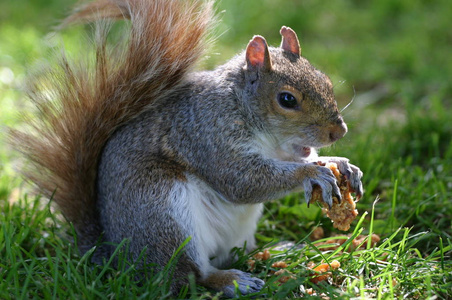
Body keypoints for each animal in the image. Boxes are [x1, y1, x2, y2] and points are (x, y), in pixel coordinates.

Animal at [11, 0, 364, 296]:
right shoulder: (208, 135)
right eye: (287, 99)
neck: (240, 105)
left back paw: (278, 250)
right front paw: (312, 174)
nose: (339, 131)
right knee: (191, 275)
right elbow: (242, 181)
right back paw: (232, 281)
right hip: (162, 212)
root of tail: (116, 256)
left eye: (325, 81)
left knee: (234, 254)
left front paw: (341, 164)